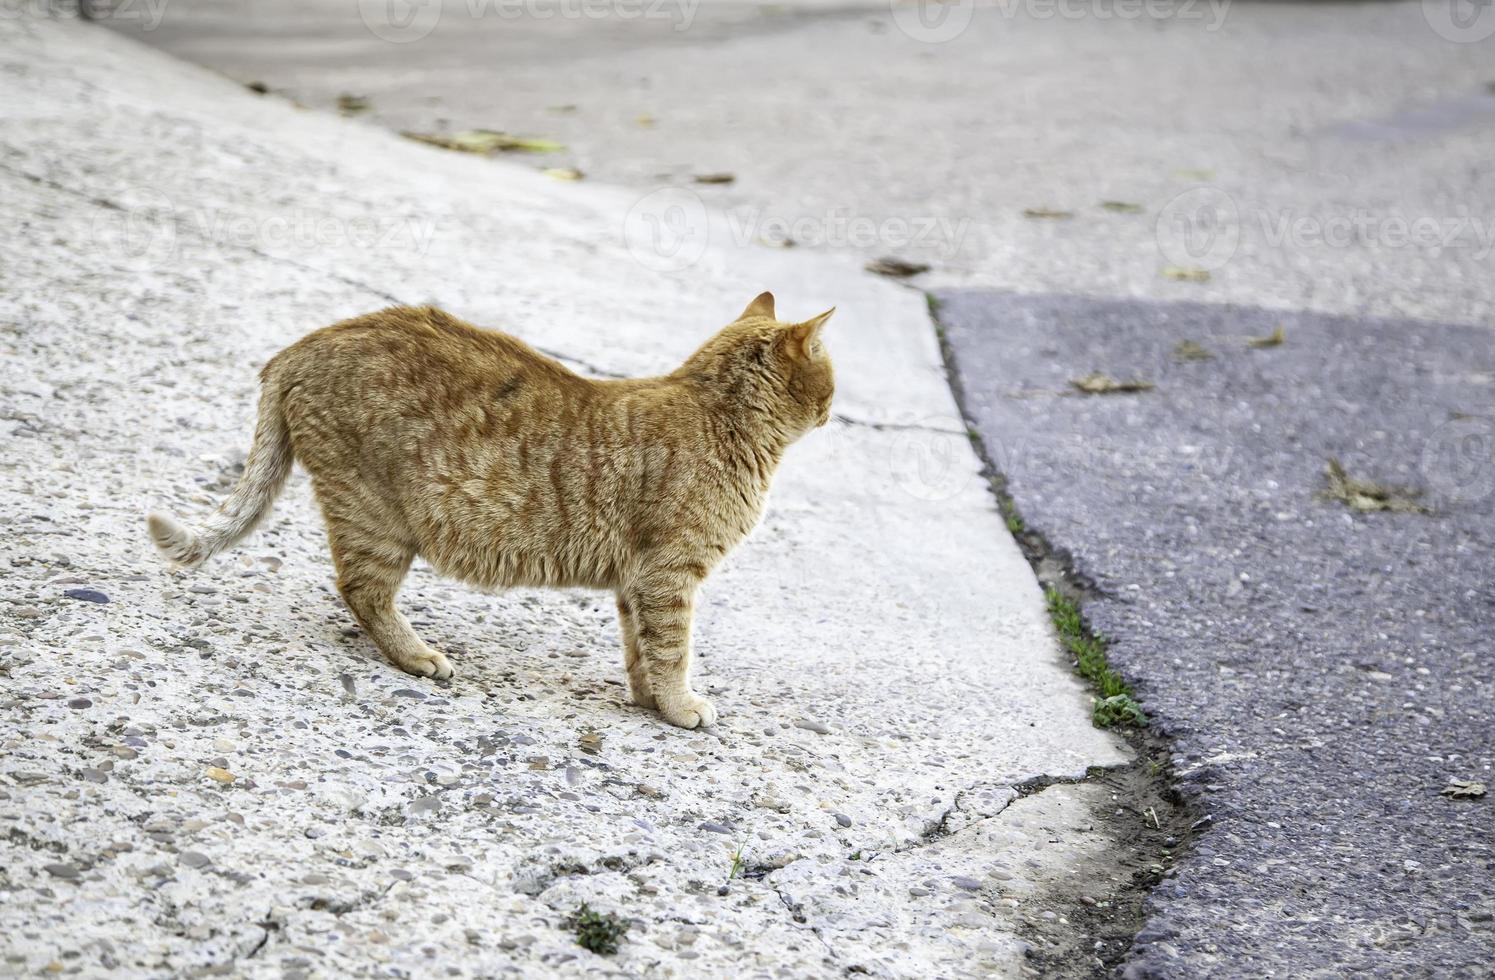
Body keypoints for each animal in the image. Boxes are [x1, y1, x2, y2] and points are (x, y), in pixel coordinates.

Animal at [145, 294, 837, 732]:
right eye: (830, 378)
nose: (834, 409)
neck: (720, 419)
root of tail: (302, 345)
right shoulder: (670, 577)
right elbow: (672, 650)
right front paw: (678, 706)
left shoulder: (639, 582)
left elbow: (640, 649)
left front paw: (647, 700)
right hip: (378, 521)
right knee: (360, 589)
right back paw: (418, 656)